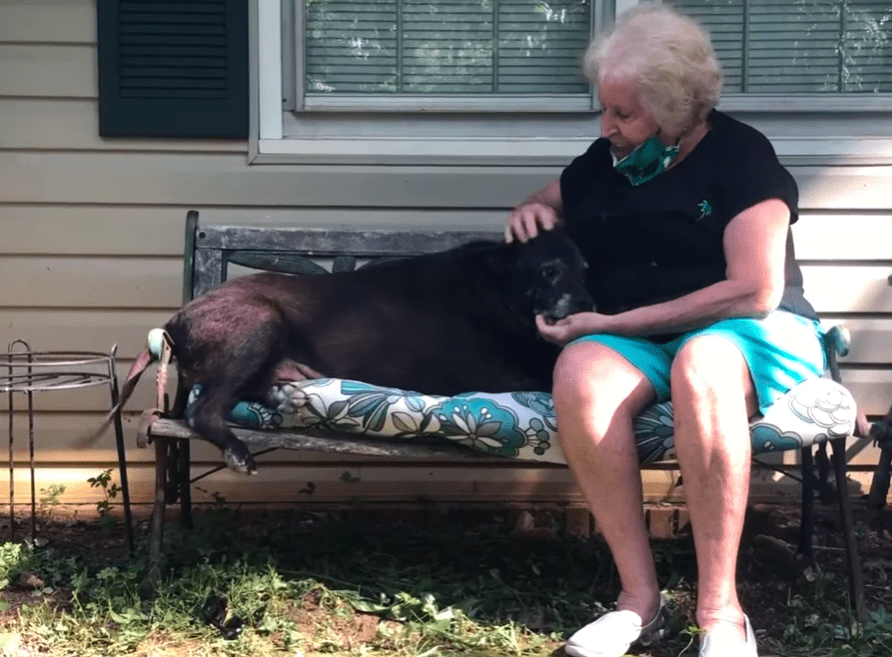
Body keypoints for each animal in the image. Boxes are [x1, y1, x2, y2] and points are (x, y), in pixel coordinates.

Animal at [116, 231, 592, 472]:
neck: (495, 287)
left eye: (586, 267)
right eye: (549, 271)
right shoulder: (492, 376)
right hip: (260, 321)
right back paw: (239, 449)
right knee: (205, 408)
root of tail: (175, 321)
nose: (589, 303)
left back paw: (284, 396)